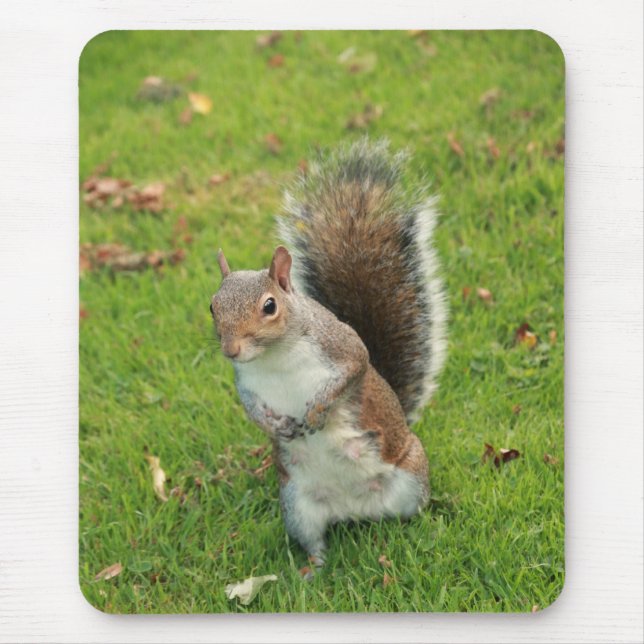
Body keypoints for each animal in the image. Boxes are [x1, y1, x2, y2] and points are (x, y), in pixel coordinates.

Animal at [210, 139, 447, 568]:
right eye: (212, 307)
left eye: (269, 306)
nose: (231, 349)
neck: (275, 358)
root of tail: (357, 510)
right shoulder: (246, 381)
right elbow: (251, 407)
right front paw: (275, 426)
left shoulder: (342, 348)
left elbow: (352, 369)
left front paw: (317, 411)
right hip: (296, 506)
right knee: (315, 542)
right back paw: (312, 569)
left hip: (411, 473)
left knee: (412, 512)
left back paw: (419, 531)